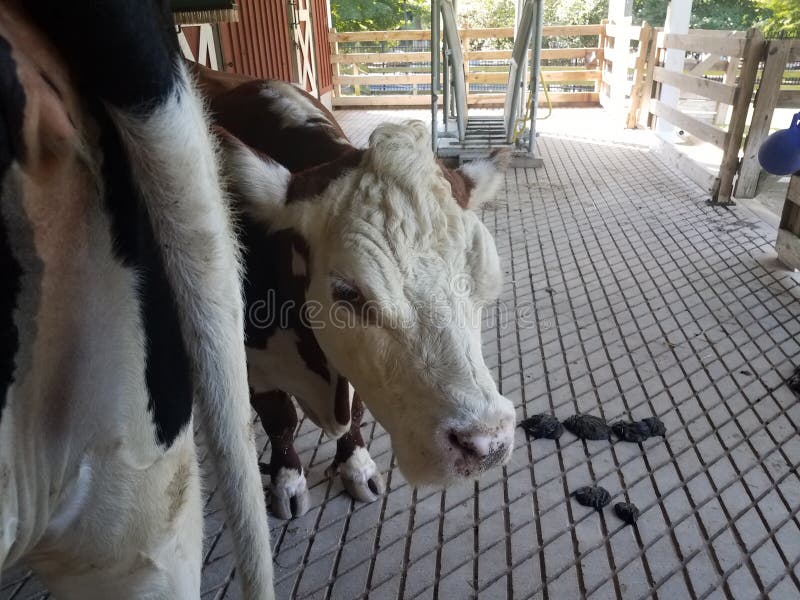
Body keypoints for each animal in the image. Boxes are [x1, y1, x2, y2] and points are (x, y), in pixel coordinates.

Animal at [194, 65, 518, 519]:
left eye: (484, 285)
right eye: (347, 292)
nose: (486, 444)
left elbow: (359, 410)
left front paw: (357, 465)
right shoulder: (251, 361)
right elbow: (279, 419)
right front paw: (287, 480)